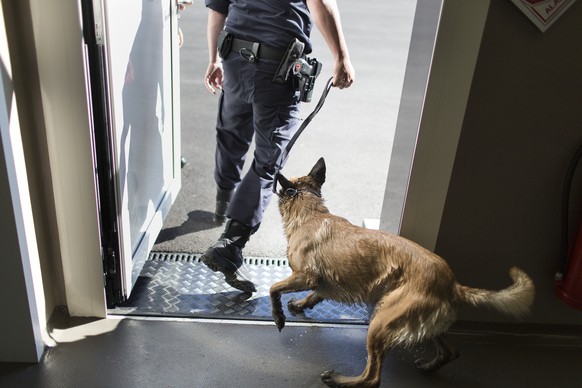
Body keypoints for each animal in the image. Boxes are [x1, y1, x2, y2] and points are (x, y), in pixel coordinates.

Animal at [272, 158, 536, 388]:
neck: (310, 212)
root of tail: (452, 285)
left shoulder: (306, 275)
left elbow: (275, 289)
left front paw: (279, 316)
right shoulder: (320, 281)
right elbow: (315, 294)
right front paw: (300, 305)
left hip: (380, 322)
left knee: (373, 377)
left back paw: (340, 380)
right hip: (421, 322)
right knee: (451, 351)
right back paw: (429, 367)